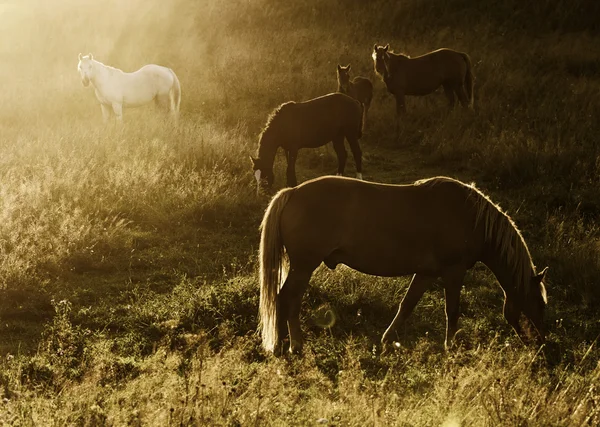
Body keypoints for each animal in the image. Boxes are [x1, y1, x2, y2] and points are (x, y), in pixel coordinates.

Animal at [258, 176, 548, 356]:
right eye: (540, 303)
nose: (540, 343)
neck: (470, 218)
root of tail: (292, 193)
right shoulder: (453, 272)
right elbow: (452, 311)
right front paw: (450, 348)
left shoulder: (426, 274)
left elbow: (406, 306)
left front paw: (386, 341)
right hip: (304, 266)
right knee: (285, 299)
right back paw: (288, 346)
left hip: (302, 267)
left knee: (290, 300)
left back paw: (291, 344)